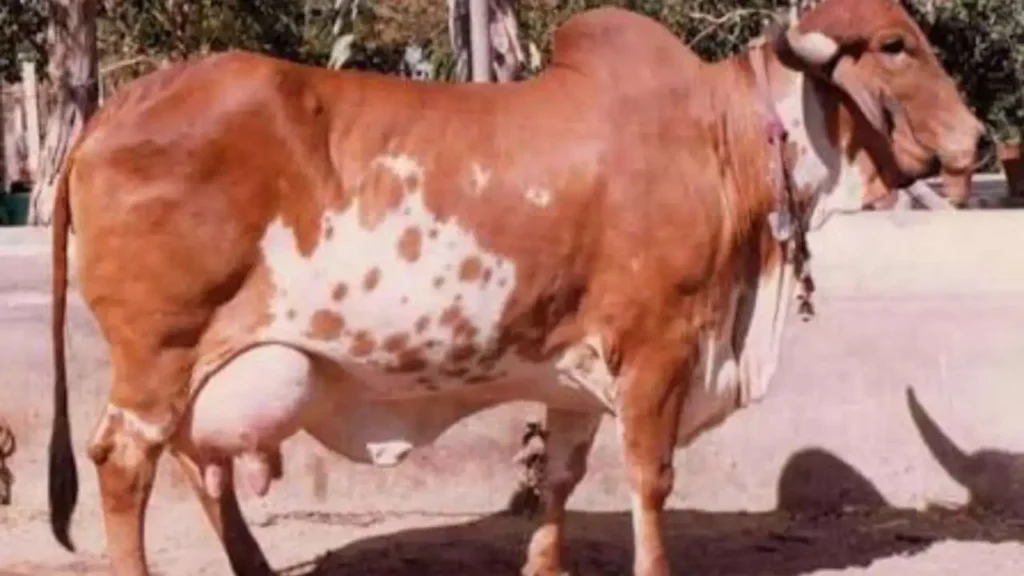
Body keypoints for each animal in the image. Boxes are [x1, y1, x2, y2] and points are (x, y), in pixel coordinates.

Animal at [46, 1, 984, 575]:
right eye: (894, 46)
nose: (978, 139)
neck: (725, 143)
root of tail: (109, 114)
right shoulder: (659, 349)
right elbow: (650, 480)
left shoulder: (577, 369)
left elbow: (561, 477)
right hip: (158, 356)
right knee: (125, 464)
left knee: (200, 467)